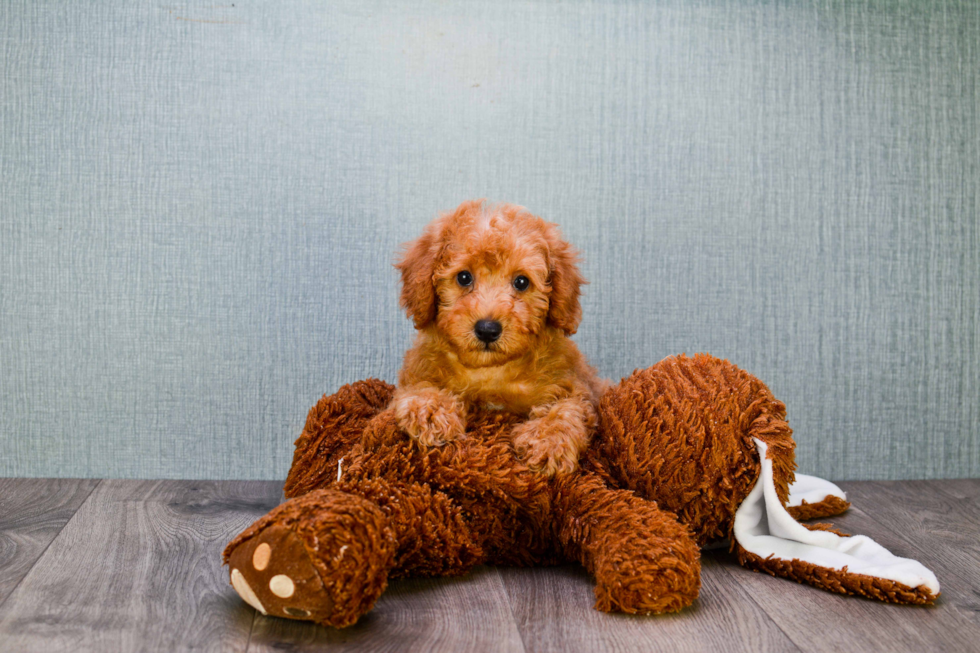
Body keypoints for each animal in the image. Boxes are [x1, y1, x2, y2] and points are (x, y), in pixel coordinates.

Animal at [388, 199, 604, 474]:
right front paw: (431, 412)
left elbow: (567, 410)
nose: (487, 329)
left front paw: (548, 441)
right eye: (464, 277)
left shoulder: (573, 385)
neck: (490, 372)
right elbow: (420, 387)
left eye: (521, 282)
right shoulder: (418, 370)